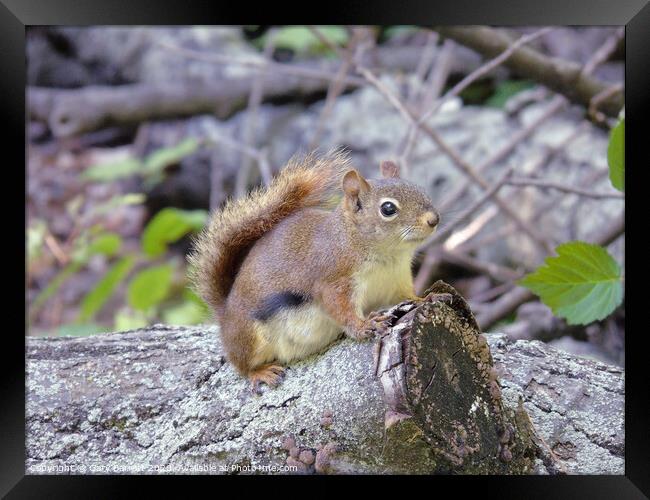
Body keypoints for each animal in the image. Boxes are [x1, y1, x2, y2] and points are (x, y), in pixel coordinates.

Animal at [190, 150, 438, 392]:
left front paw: (426, 297)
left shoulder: (396, 280)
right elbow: (340, 309)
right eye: (388, 209)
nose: (434, 219)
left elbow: (405, 296)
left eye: (420, 189)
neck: (386, 256)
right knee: (241, 365)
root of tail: (225, 313)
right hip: (250, 336)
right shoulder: (334, 279)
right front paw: (364, 325)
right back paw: (260, 372)